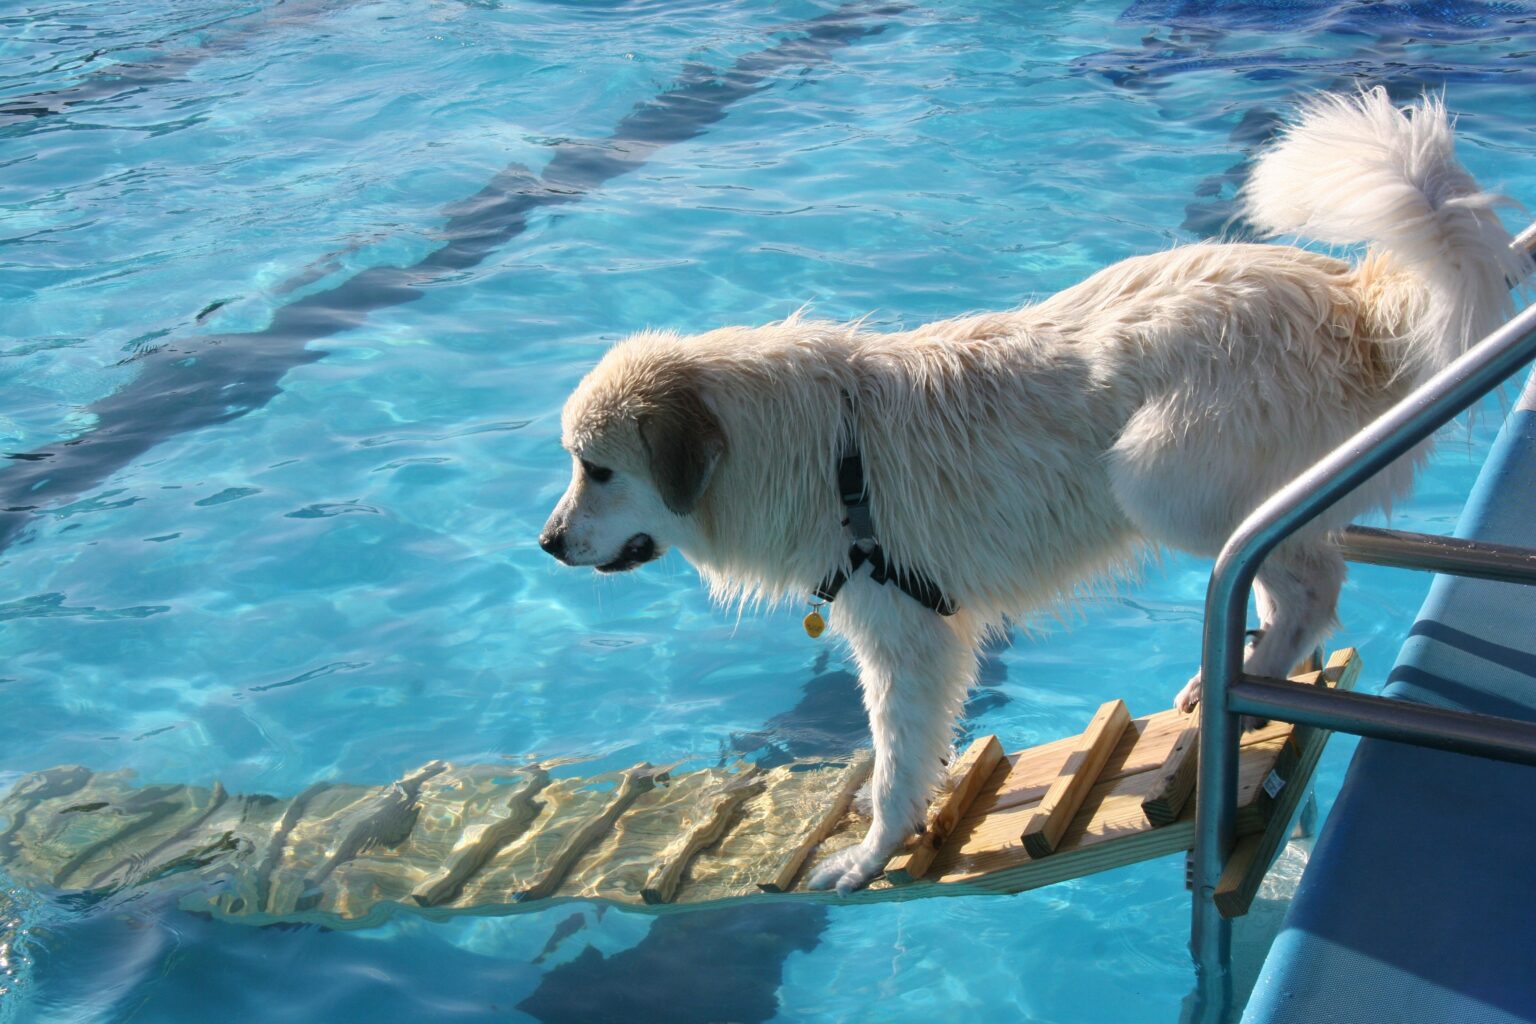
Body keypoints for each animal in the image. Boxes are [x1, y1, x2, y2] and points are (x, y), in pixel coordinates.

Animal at [537, 92, 1523, 890]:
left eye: (597, 468)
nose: (546, 543)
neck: (811, 449)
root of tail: (1349, 301)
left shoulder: (905, 636)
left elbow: (895, 760)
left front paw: (868, 856)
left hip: (1157, 475)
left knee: (1309, 581)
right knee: (1303, 570)